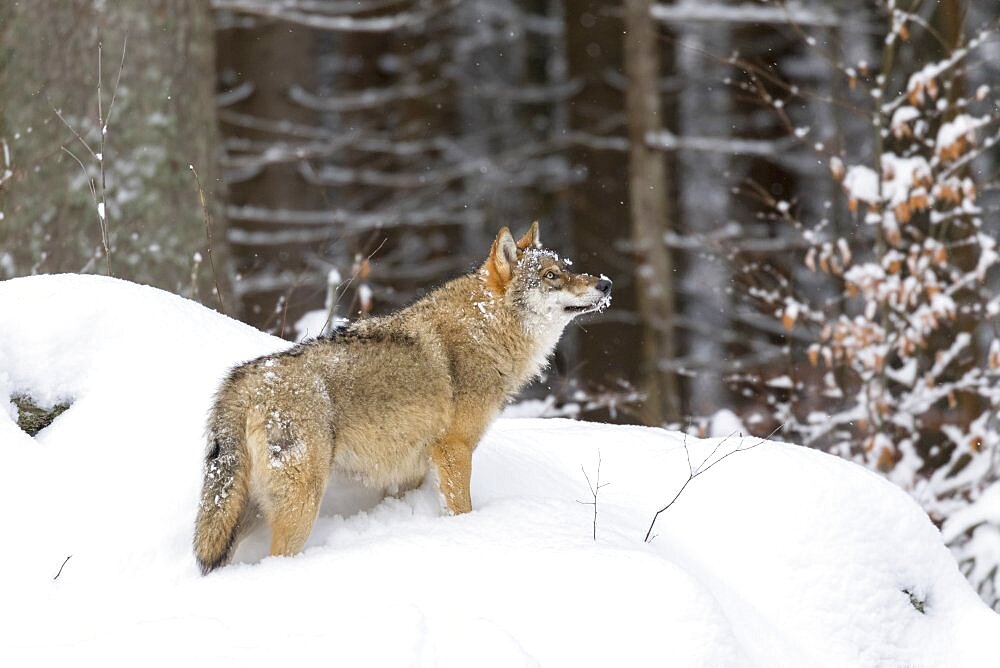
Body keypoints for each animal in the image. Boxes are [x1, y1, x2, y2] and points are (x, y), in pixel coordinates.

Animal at [189, 224, 608, 576]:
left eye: (568, 268)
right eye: (551, 276)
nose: (605, 283)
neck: (486, 330)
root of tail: (242, 381)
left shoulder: (410, 471)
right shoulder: (454, 450)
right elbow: (462, 510)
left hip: (245, 512)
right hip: (299, 508)